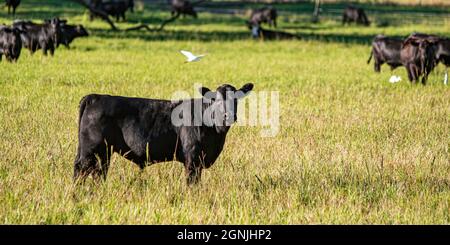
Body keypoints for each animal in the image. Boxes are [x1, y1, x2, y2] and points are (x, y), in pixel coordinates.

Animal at [75, 83, 255, 185]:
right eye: (215, 100)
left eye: (236, 99)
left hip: (101, 152)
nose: (228, 115)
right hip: (92, 150)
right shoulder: (192, 159)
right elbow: (192, 183)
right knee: (82, 171)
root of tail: (94, 97)